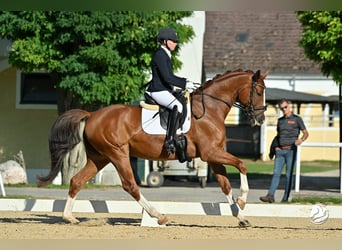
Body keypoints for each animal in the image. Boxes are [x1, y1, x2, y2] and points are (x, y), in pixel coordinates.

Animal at [36, 69, 268, 228]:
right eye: (258, 91)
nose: (261, 118)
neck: (210, 109)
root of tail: (92, 115)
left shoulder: (212, 156)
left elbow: (226, 185)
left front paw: (242, 217)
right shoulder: (211, 153)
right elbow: (242, 165)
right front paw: (243, 200)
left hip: (100, 157)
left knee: (77, 181)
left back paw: (69, 217)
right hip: (117, 154)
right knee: (130, 185)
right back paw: (158, 215)